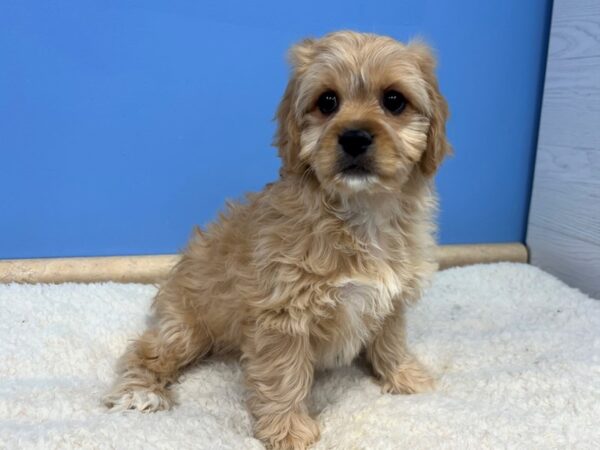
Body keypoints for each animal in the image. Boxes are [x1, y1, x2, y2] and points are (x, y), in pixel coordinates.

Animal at [104, 29, 450, 448]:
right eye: (327, 101)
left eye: (394, 100)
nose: (354, 137)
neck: (360, 212)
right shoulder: (282, 314)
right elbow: (284, 375)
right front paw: (288, 430)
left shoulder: (392, 298)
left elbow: (391, 342)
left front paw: (406, 378)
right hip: (186, 327)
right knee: (148, 350)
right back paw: (141, 392)